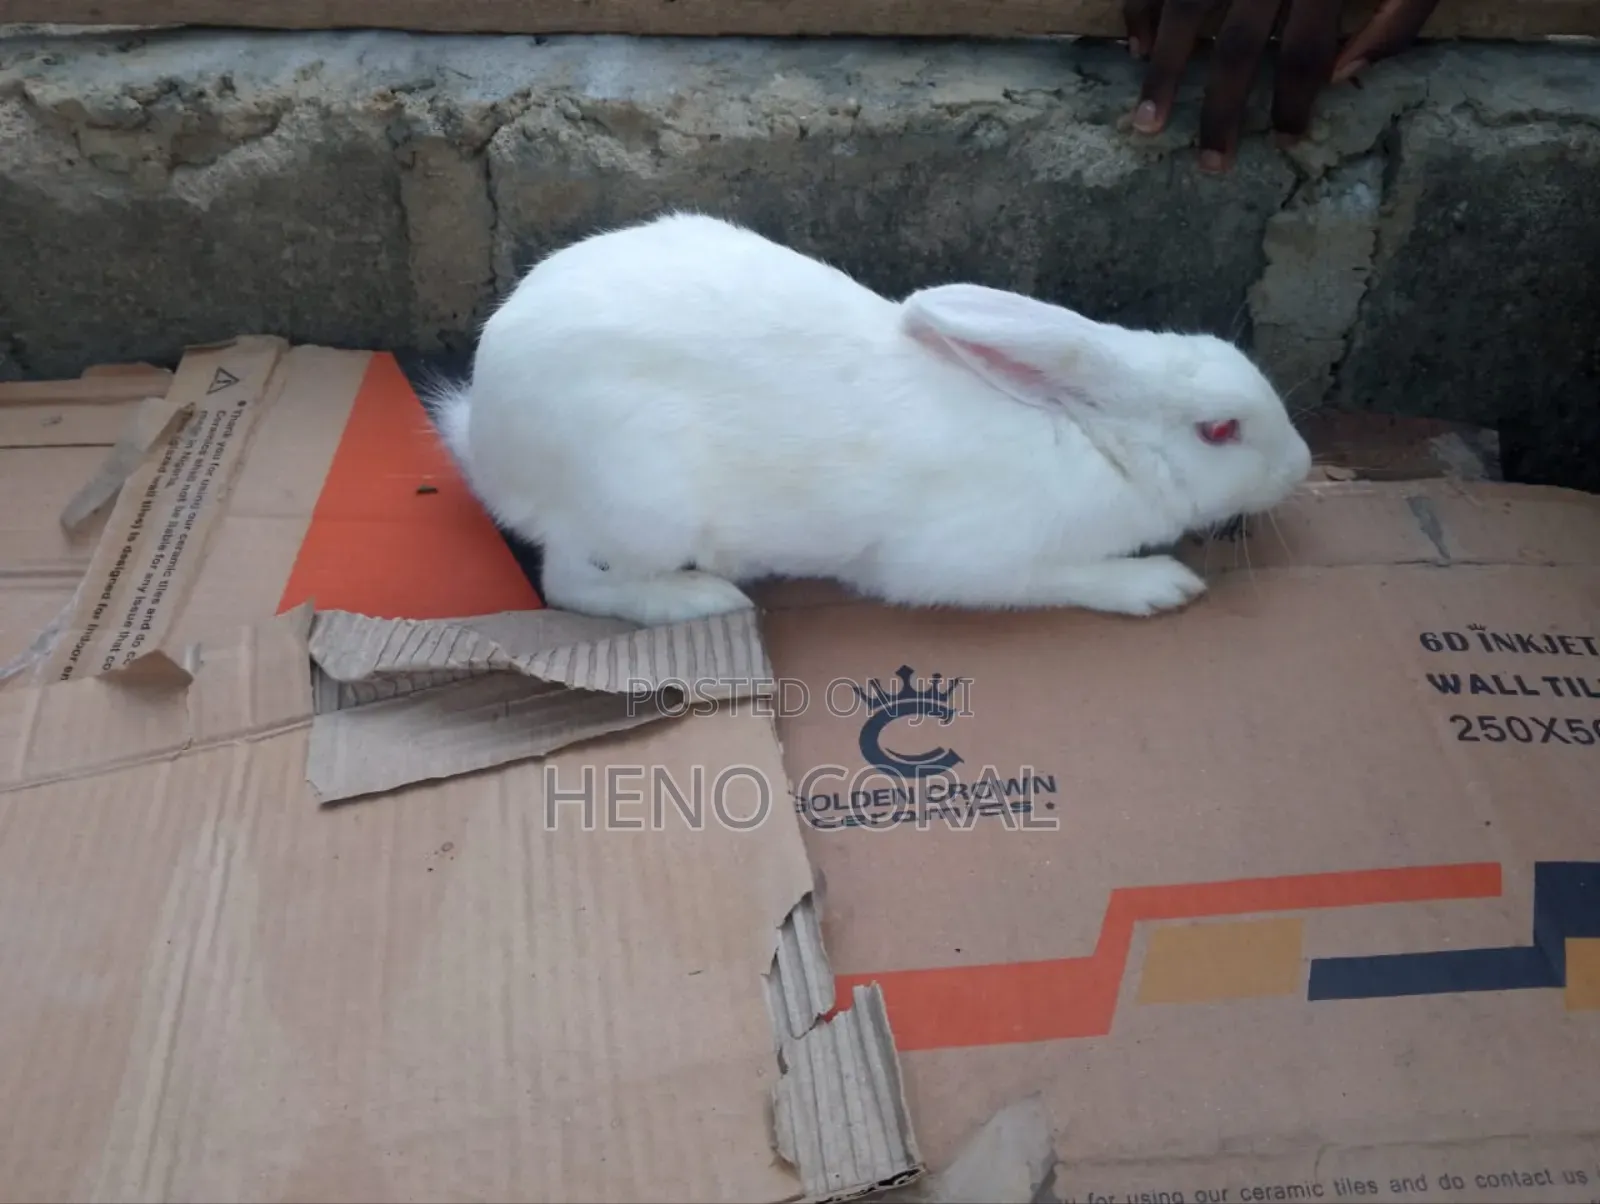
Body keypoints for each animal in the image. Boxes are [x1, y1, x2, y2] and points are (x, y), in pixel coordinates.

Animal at [427, 211, 1312, 627]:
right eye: (1220, 431)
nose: (1303, 466)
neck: (1093, 442)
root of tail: (489, 434)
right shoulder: (965, 563)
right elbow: (1063, 576)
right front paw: (1159, 585)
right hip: (640, 503)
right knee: (569, 582)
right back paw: (701, 599)